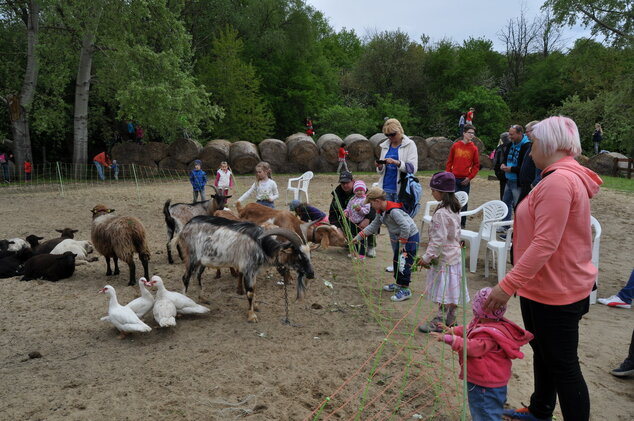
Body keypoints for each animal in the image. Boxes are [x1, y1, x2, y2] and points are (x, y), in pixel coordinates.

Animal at [175, 215, 314, 320]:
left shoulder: (254, 271)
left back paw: (202, 298)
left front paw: (256, 306)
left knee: (197, 275)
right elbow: (250, 291)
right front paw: (252, 316)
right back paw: (182, 307)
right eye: (299, 256)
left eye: (309, 254)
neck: (260, 245)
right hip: (191, 257)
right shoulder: (248, 269)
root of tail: (186, 226)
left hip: (202, 261)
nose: (311, 274)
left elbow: (255, 288)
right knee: (185, 278)